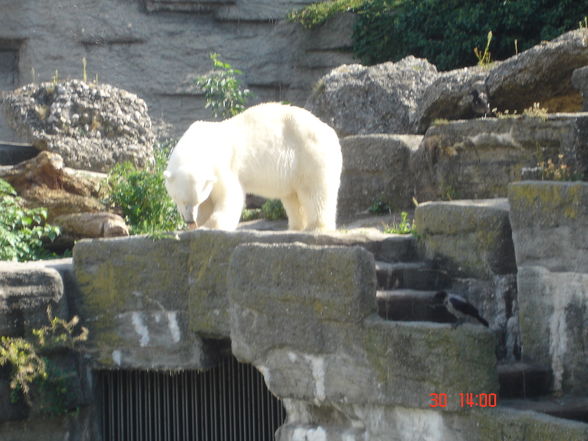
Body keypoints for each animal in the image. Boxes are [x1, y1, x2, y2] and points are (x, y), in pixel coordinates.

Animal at [163, 102, 342, 232]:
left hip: (310, 154)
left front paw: (208, 226)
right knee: (292, 197)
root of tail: (331, 133)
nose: (189, 220)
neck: (201, 142)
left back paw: (316, 227)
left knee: (315, 192)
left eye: (193, 201)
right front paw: (199, 223)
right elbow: (210, 201)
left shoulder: (223, 167)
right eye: (180, 199)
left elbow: (229, 196)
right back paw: (296, 227)